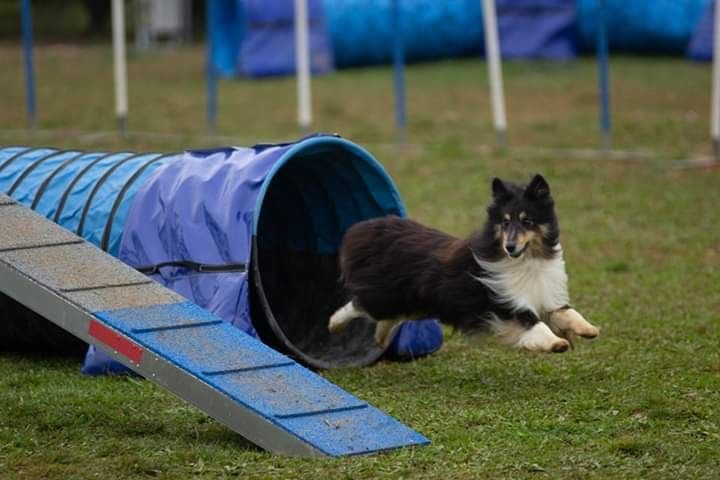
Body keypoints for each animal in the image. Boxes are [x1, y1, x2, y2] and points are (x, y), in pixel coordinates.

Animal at [330, 174, 600, 354]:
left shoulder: (545, 296)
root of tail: (374, 227)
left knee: (387, 317)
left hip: (412, 301)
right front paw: (557, 343)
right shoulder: (506, 304)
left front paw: (589, 329)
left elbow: (566, 312)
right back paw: (334, 324)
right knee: (359, 305)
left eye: (527, 221)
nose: (510, 247)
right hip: (388, 296)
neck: (527, 261)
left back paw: (381, 339)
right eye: (505, 222)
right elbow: (535, 324)